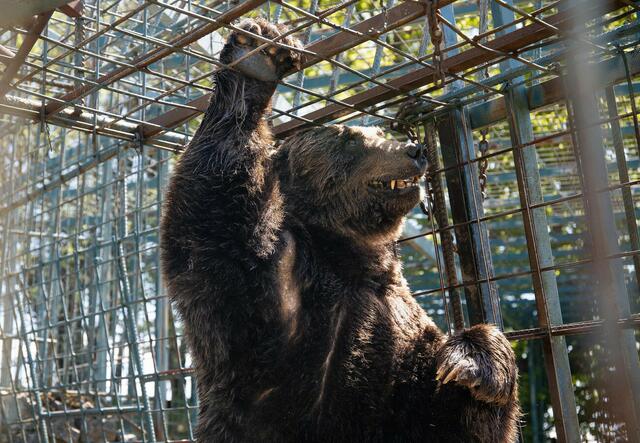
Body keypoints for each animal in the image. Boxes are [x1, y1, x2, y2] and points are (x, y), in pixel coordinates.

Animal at [160, 18, 520, 442]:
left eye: (380, 132)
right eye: (351, 140)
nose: (414, 150)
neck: (350, 258)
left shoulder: (405, 354)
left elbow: (452, 413)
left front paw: (473, 365)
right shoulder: (261, 298)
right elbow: (210, 206)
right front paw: (256, 55)